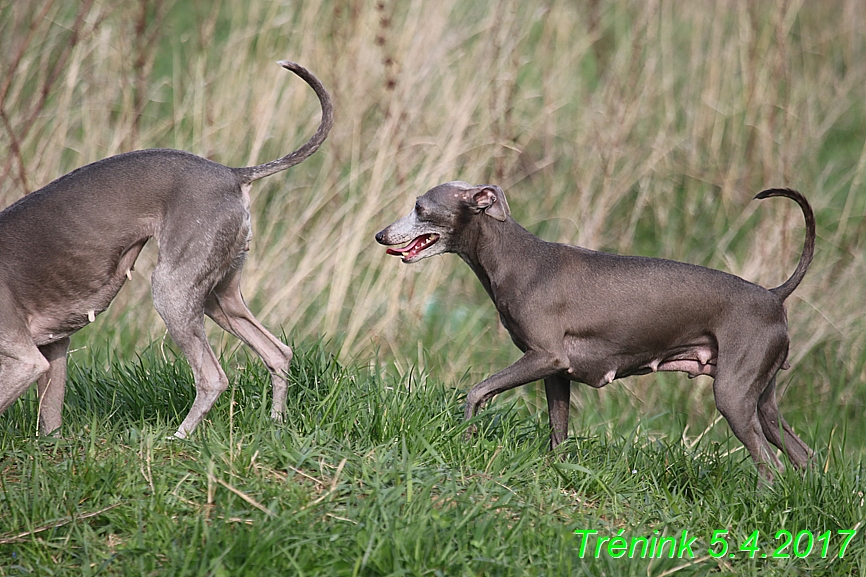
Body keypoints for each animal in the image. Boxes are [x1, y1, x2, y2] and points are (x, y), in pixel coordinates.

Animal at [0, 59, 332, 436]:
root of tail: (232, 174)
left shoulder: (25, 359)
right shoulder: (53, 347)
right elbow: (51, 419)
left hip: (173, 289)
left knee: (213, 377)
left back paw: (181, 436)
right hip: (218, 294)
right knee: (278, 352)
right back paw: (276, 423)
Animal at [374, 182, 812, 480]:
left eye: (420, 207)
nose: (381, 235)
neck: (516, 259)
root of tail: (773, 296)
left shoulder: (544, 356)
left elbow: (477, 391)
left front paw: (463, 437)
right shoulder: (555, 373)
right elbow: (558, 431)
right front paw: (556, 472)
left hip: (733, 396)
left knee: (771, 468)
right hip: (762, 399)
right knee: (801, 455)